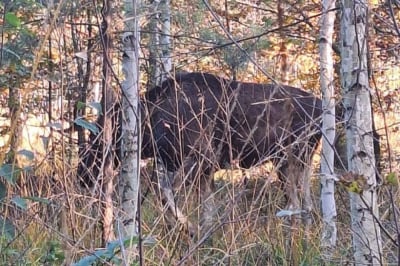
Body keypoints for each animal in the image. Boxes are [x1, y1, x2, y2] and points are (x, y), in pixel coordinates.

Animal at [141, 72, 322, 235]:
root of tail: (321, 110)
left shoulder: (202, 158)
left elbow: (164, 192)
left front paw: (191, 230)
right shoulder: (202, 170)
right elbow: (206, 211)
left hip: (291, 158)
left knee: (297, 206)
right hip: (298, 161)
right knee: (306, 205)